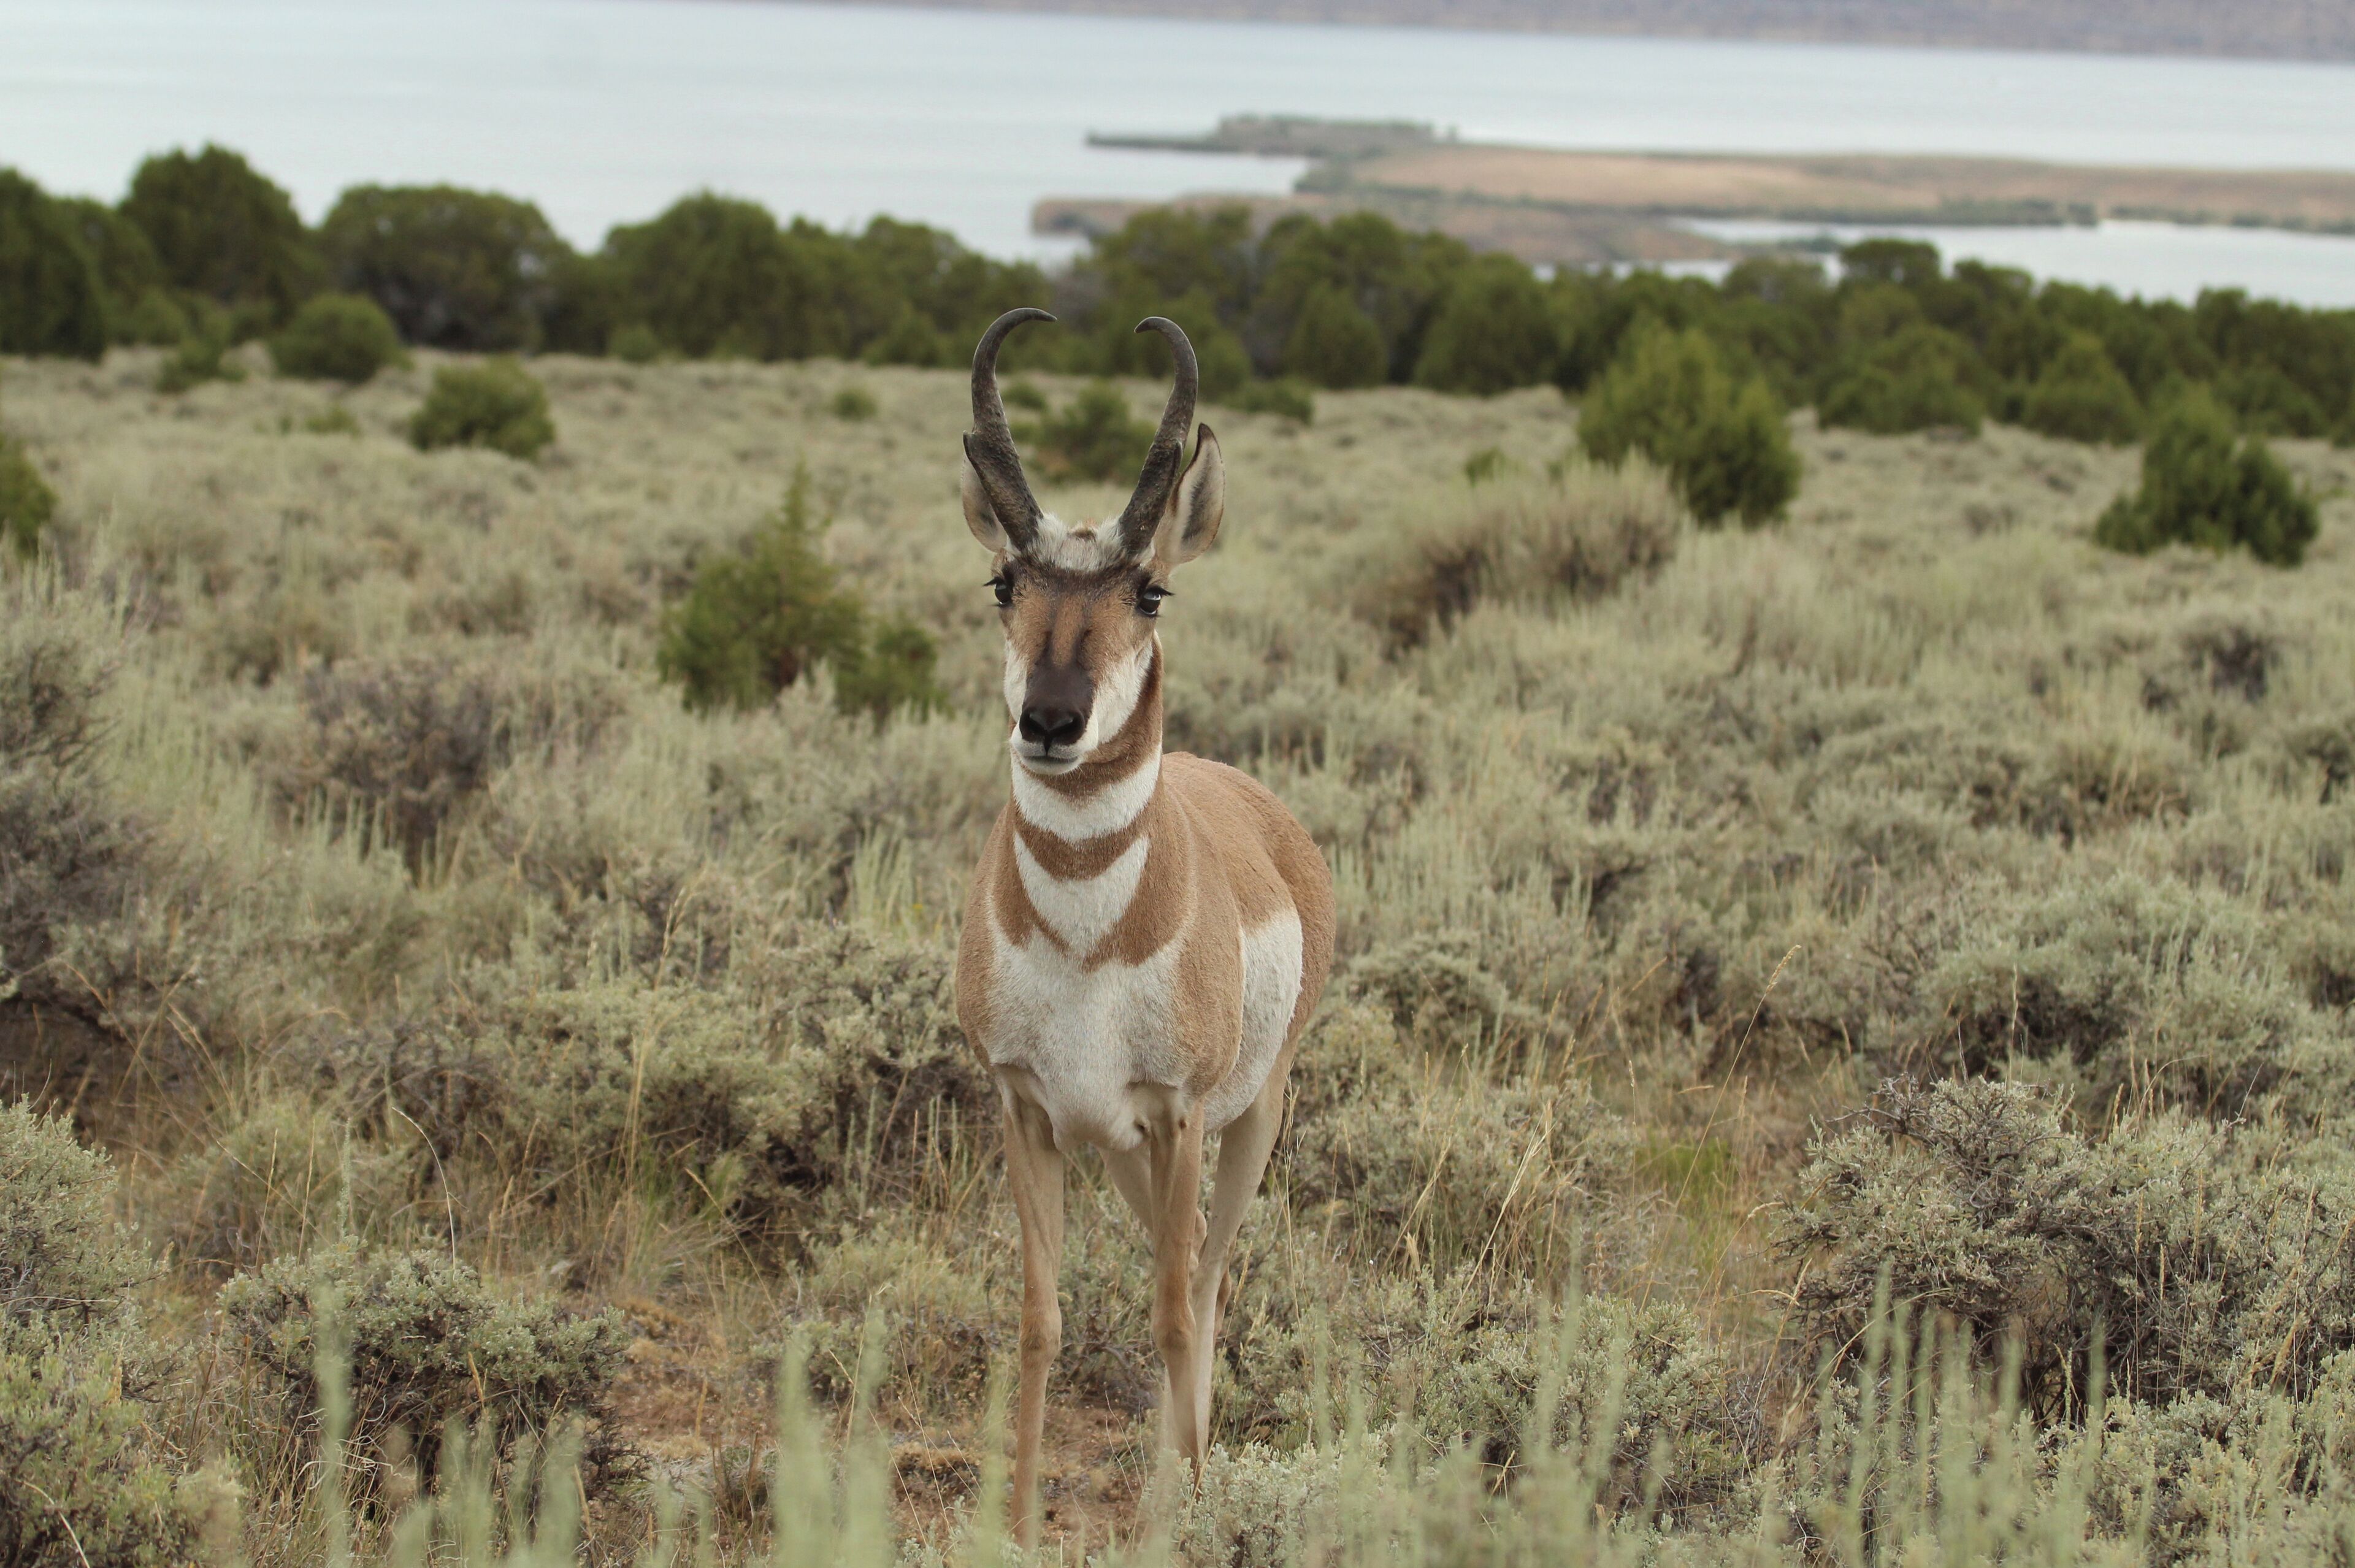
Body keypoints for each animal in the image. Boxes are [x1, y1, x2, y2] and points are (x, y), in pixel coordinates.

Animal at [953, 309, 1336, 1536]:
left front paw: (1187, 1518)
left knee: (1206, 1279)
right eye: (1004, 581)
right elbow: (1040, 1320)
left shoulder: (1177, 1116)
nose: (1051, 720)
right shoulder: (1030, 1112)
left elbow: (1172, 1313)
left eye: (1150, 592)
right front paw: (1018, 1522)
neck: (1087, 941)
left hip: (1251, 1116)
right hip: (1121, 1150)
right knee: (1185, 1270)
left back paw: (1183, 1491)